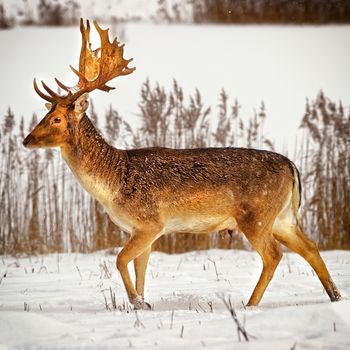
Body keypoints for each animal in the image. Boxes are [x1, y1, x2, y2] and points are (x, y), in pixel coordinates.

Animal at [24, 18, 342, 308]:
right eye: (46, 113)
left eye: (57, 119)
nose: (26, 139)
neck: (113, 184)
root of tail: (292, 167)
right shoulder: (140, 230)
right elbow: (140, 267)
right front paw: (143, 303)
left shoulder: (151, 222)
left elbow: (120, 260)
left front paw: (136, 302)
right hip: (283, 216)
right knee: (310, 246)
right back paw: (335, 296)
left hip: (257, 214)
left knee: (274, 255)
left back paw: (251, 304)